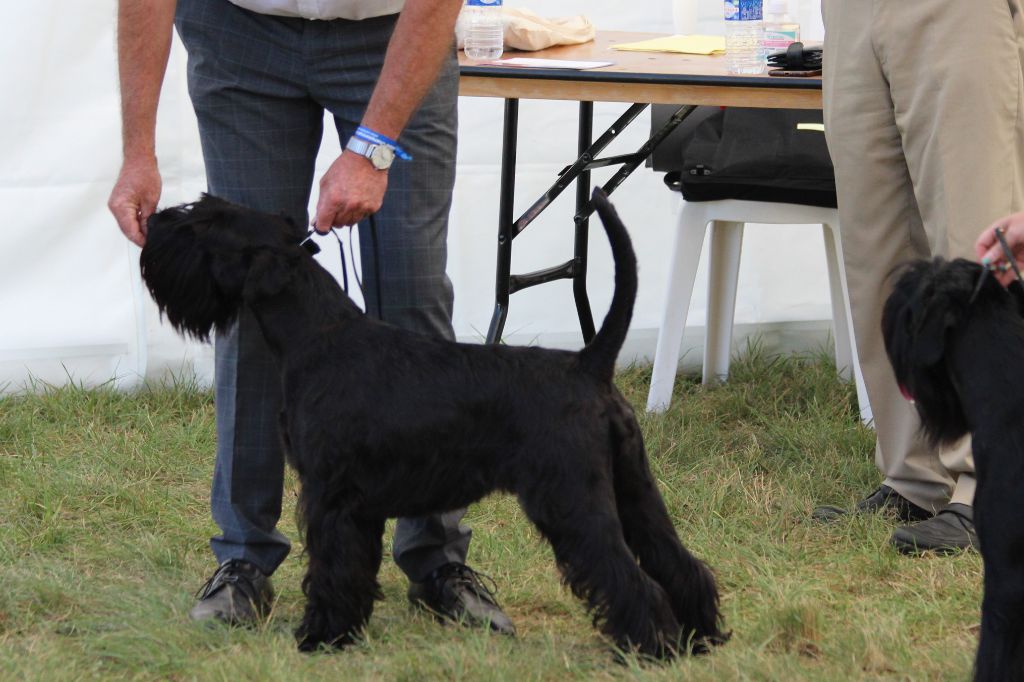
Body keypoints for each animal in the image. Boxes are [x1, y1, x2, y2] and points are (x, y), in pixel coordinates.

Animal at [140, 188, 724, 655]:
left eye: (203, 224)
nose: (153, 224)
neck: (317, 335)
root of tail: (590, 365)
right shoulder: (359, 506)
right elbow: (353, 570)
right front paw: (346, 630)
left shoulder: (330, 496)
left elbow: (330, 568)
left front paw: (322, 636)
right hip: (634, 488)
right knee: (677, 560)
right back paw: (701, 637)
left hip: (572, 499)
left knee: (628, 574)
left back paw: (653, 649)